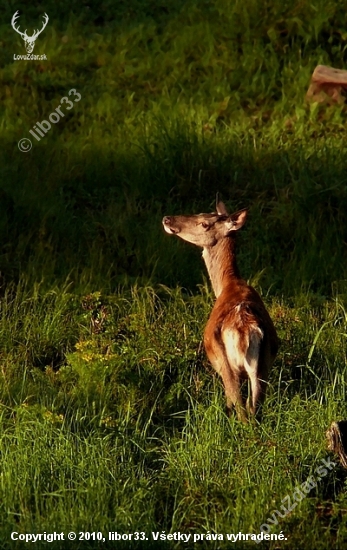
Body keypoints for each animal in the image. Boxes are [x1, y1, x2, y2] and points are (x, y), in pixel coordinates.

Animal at [162, 198, 278, 422]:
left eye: (204, 223)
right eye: (200, 212)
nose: (167, 218)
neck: (227, 285)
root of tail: (244, 328)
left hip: (226, 364)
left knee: (240, 406)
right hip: (263, 363)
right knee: (254, 407)